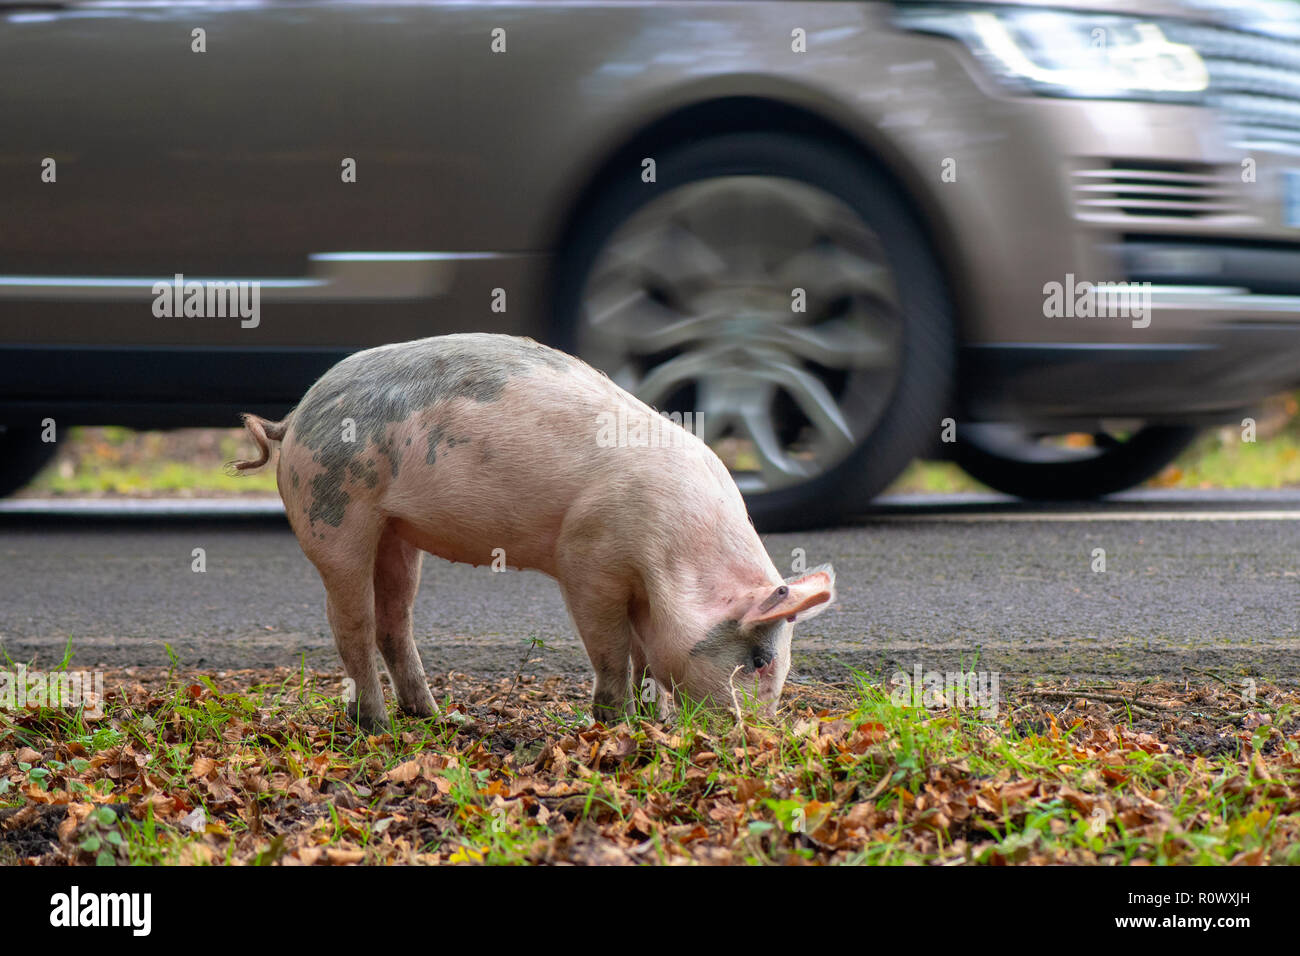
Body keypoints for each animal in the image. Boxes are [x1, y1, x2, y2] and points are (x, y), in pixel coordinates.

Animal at [235, 332, 837, 728]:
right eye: (758, 661)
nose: (757, 736)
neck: (675, 558)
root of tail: (295, 417)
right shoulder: (587, 562)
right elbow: (613, 649)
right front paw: (618, 725)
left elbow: (648, 651)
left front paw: (656, 721)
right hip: (335, 515)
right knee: (351, 626)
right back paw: (378, 727)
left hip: (396, 533)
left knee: (394, 622)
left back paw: (438, 719)